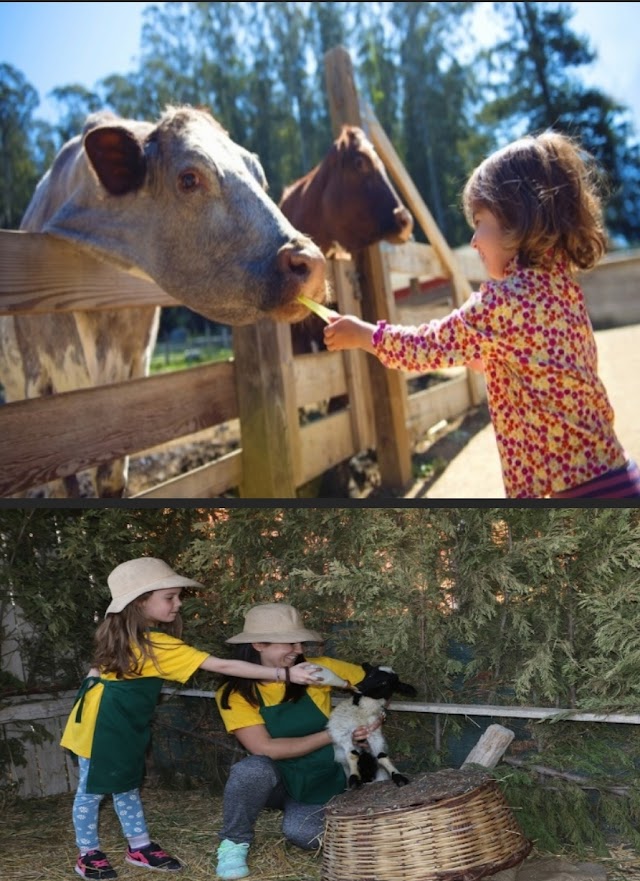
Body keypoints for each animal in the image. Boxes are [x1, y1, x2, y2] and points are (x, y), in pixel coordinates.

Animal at [1, 105, 330, 496]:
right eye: (188, 179)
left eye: (259, 177)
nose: (311, 262)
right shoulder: (40, 382)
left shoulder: (132, 375)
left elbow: (112, 479)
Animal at [328, 660, 418, 792]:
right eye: (370, 674)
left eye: (384, 682)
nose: (359, 686)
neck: (363, 711)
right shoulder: (342, 732)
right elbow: (352, 754)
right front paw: (354, 779)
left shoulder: (374, 734)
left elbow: (382, 756)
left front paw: (399, 777)